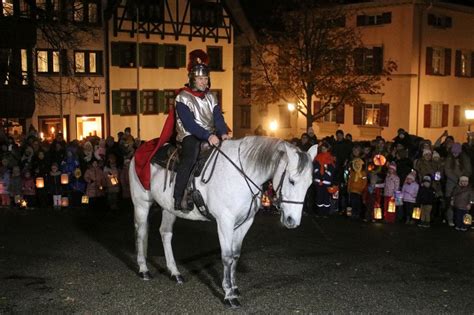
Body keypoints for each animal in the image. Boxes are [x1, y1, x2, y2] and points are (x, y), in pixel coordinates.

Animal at [129, 136, 318, 308]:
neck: (241, 174)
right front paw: (228, 294)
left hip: (169, 208)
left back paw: (174, 272)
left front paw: (234, 288)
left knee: (165, 233)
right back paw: (144, 269)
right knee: (141, 232)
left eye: (309, 183)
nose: (292, 221)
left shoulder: (245, 222)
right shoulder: (225, 221)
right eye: (292, 181)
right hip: (141, 203)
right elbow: (226, 257)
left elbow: (235, 255)